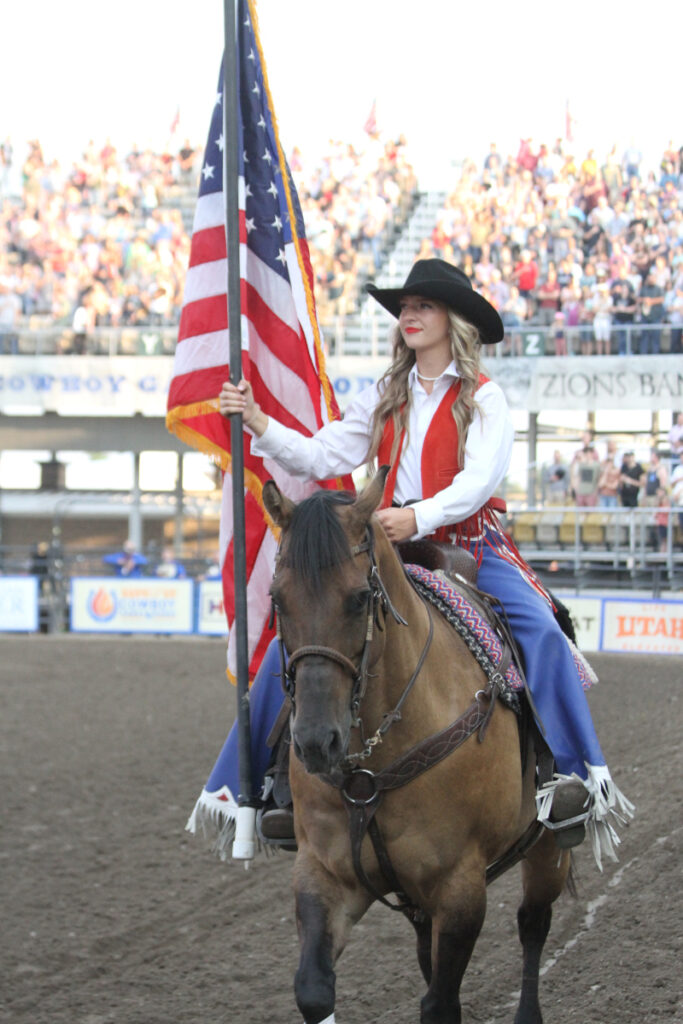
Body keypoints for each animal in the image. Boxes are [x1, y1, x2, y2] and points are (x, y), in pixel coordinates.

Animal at [264, 471, 573, 1024]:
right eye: (278, 599)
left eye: (359, 597)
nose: (317, 741)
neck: (370, 767)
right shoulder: (324, 873)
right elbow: (315, 989)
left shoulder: (460, 889)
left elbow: (441, 1003)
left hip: (547, 847)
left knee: (533, 924)